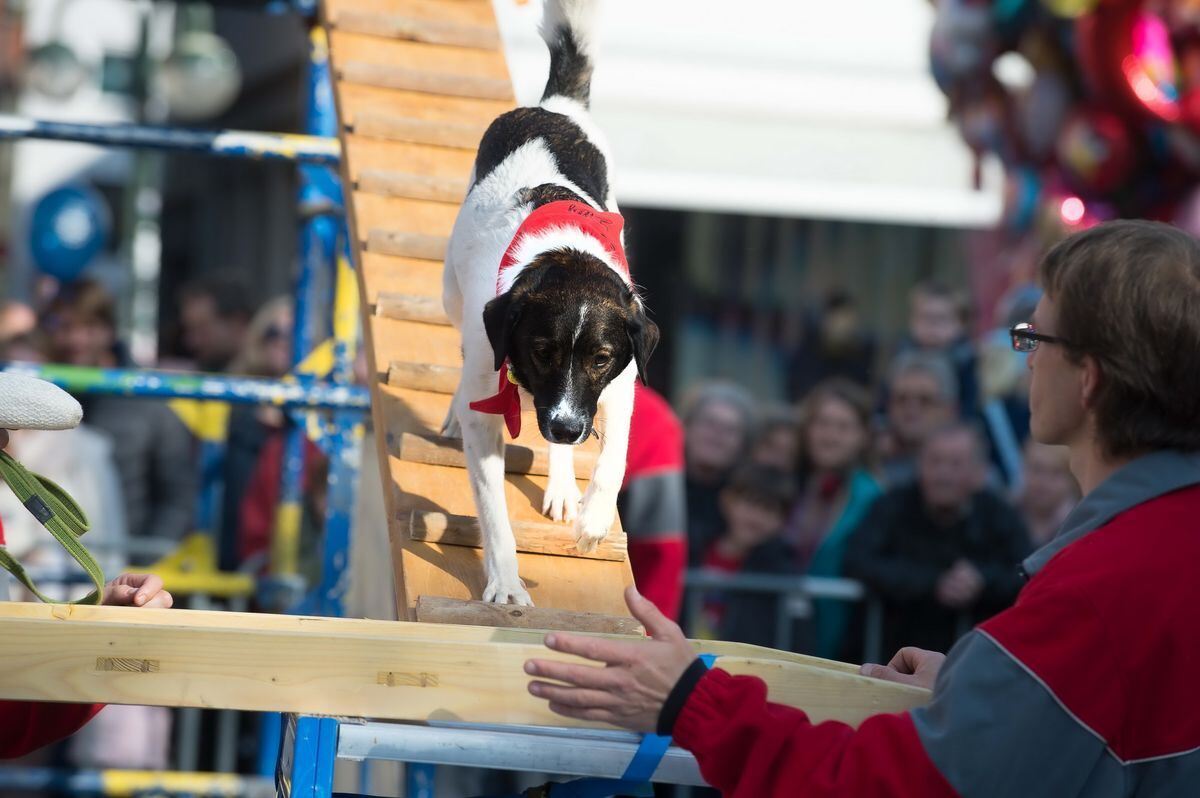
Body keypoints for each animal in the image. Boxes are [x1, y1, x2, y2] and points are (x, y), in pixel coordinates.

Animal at [441, 0, 657, 600]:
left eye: (601, 358)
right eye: (541, 351)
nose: (563, 428)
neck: (565, 259)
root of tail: (553, 107)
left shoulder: (620, 384)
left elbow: (614, 457)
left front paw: (594, 521)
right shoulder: (494, 398)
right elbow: (493, 511)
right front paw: (506, 584)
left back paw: (564, 487)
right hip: (451, 295)